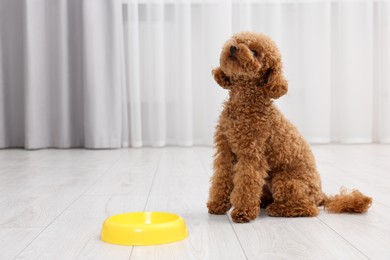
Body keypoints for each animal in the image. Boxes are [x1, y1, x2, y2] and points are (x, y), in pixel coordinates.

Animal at [206, 32, 374, 223]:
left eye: (255, 52)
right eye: (238, 40)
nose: (233, 47)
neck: (243, 102)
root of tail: (320, 195)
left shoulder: (252, 155)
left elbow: (246, 184)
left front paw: (243, 212)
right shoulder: (225, 150)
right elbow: (221, 178)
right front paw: (217, 205)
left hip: (285, 181)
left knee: (308, 209)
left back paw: (277, 209)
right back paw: (265, 202)